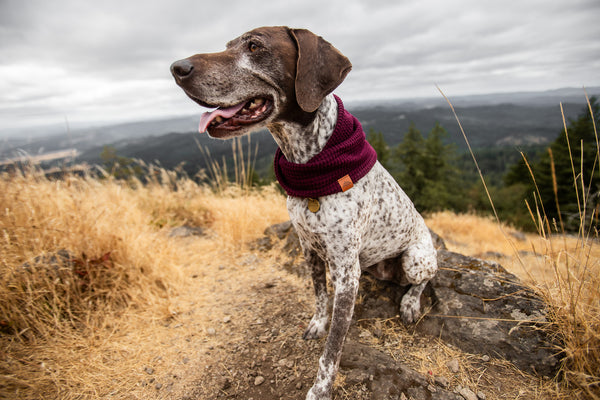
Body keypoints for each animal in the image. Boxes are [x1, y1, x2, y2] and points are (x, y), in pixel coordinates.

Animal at [171, 26, 438, 398]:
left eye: (254, 46)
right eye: (228, 46)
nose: (176, 68)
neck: (309, 165)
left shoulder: (346, 273)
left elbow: (333, 348)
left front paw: (321, 388)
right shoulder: (309, 248)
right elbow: (319, 297)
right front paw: (317, 323)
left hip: (416, 258)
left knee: (425, 280)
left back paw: (411, 303)